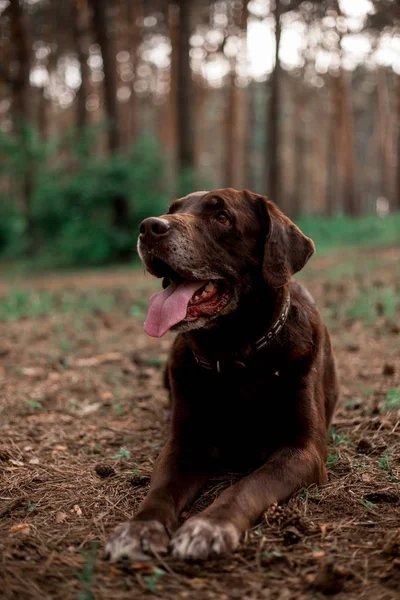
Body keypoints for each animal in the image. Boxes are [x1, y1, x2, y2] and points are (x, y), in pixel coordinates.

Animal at [104, 189, 340, 564]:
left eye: (222, 217)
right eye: (172, 210)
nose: (149, 227)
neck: (234, 357)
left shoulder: (302, 451)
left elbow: (246, 487)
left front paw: (208, 526)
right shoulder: (185, 442)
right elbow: (159, 491)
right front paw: (139, 529)